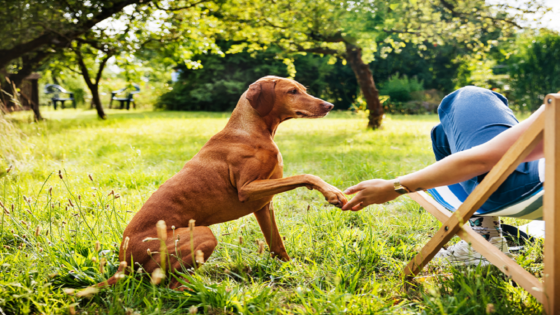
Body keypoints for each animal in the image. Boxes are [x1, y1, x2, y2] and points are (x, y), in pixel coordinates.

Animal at [100, 76, 346, 288]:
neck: (251, 131)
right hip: (202, 234)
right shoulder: (247, 189)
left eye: (303, 89)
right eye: (292, 91)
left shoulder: (263, 205)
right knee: (170, 283)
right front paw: (332, 193)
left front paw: (291, 270)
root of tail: (124, 263)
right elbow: (305, 176)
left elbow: (277, 244)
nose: (330, 105)